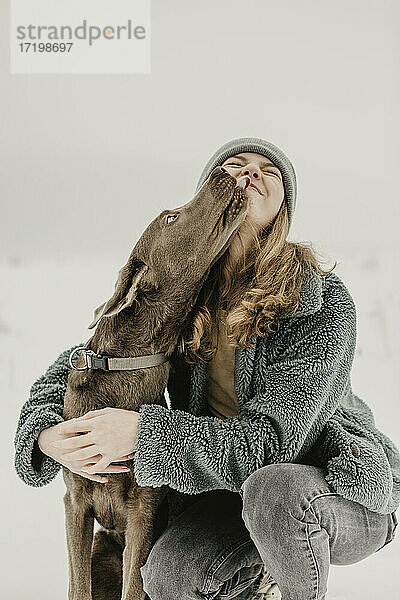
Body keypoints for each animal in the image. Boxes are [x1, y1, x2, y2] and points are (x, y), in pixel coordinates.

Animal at [61, 168, 248, 600]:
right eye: (170, 218)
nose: (222, 172)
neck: (125, 370)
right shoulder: (75, 500)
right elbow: (78, 585)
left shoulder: (144, 507)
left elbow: (134, 585)